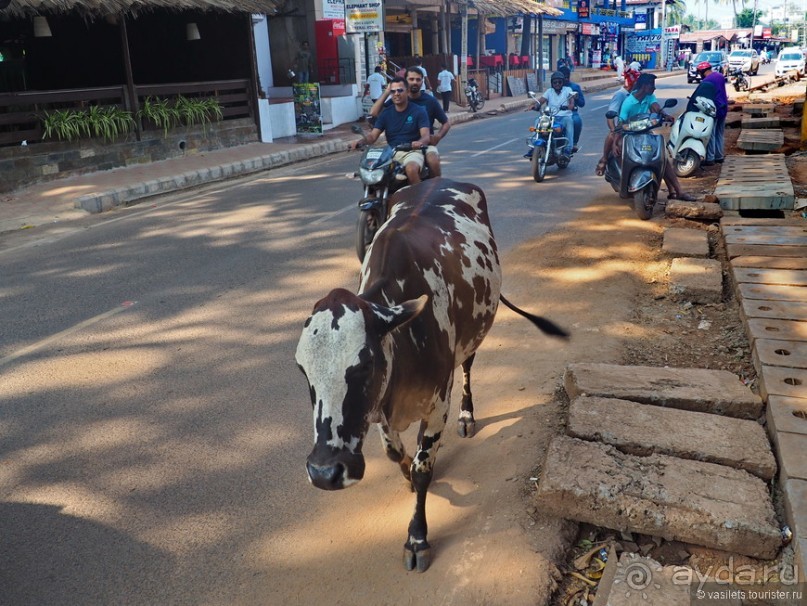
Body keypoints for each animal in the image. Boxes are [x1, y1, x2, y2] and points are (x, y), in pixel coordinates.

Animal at [296, 178, 568, 572]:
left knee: (468, 369)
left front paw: (417, 538)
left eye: (365, 364)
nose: (324, 473)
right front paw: (407, 476)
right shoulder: (380, 408)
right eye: (302, 370)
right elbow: (395, 453)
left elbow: (423, 468)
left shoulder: (438, 403)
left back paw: (468, 416)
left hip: (471, 339)